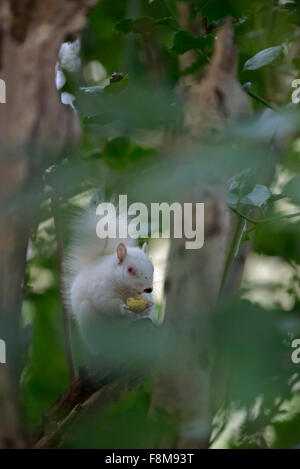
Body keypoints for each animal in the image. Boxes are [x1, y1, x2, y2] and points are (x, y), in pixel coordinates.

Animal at [64, 203, 156, 352]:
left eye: (153, 267)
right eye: (130, 269)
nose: (148, 289)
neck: (126, 290)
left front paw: (148, 307)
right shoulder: (100, 288)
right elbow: (106, 303)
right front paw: (122, 308)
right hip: (89, 318)